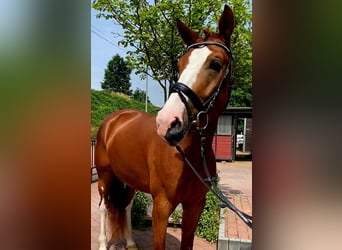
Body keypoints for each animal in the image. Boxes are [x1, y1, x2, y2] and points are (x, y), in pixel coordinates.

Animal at [96, 5, 234, 250]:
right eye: (180, 64)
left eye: (216, 64)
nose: (167, 123)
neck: (189, 155)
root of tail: (113, 119)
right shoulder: (161, 206)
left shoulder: (195, 207)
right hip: (105, 176)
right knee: (103, 206)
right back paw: (103, 244)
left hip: (129, 178)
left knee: (126, 205)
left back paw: (130, 242)